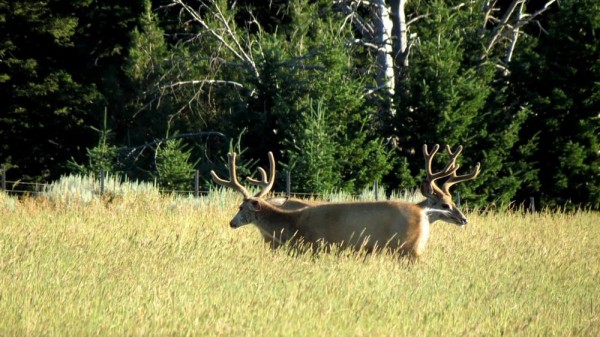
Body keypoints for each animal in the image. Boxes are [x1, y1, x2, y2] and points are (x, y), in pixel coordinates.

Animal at [213, 144, 480, 258]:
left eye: (241, 207)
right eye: (445, 204)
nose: (231, 223)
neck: (292, 225)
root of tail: (421, 214)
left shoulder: (317, 246)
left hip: (408, 247)